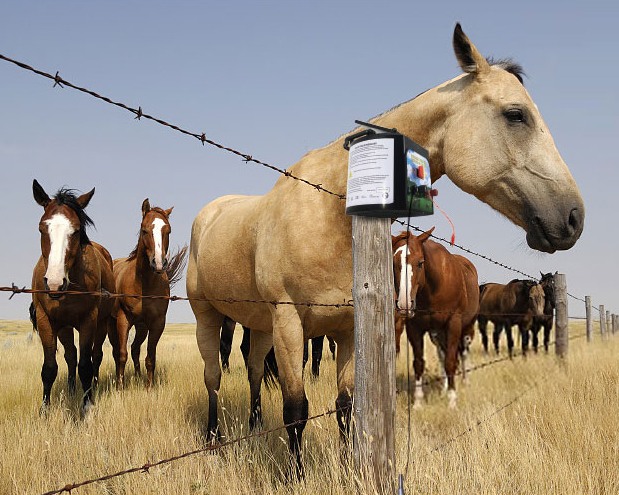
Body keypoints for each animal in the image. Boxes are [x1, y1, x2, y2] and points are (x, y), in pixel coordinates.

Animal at [30, 180, 115, 416]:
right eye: (42, 228)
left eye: (76, 230)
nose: (55, 282)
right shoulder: (46, 321)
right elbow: (49, 367)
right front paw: (44, 410)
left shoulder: (89, 320)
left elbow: (86, 365)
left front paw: (87, 407)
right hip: (65, 328)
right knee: (71, 355)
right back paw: (70, 389)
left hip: (101, 324)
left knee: (95, 356)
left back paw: (93, 388)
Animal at [109, 200, 186, 390]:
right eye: (144, 230)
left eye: (168, 230)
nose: (158, 263)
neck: (144, 285)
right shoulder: (123, 319)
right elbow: (122, 354)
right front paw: (120, 388)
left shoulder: (157, 323)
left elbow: (150, 357)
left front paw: (149, 387)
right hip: (111, 325)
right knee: (117, 352)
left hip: (142, 327)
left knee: (136, 348)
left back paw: (137, 377)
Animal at [392, 229, 480, 406]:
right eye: (393, 263)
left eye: (420, 262)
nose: (405, 305)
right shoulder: (414, 328)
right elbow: (419, 363)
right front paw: (418, 402)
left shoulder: (453, 324)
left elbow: (451, 362)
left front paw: (452, 400)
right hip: (437, 333)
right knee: (442, 355)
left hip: (466, 328)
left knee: (463, 353)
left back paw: (465, 382)